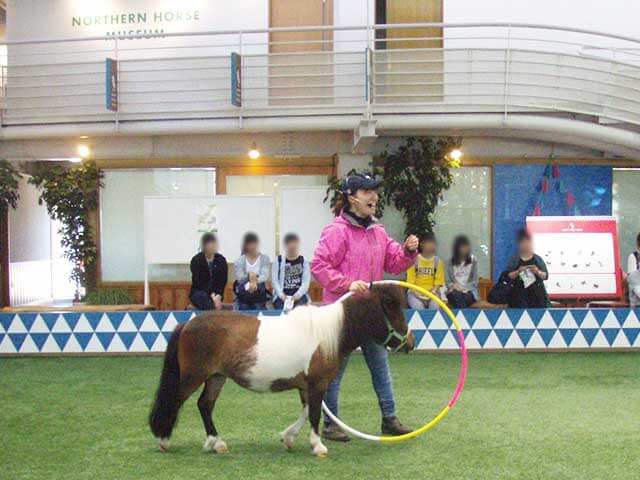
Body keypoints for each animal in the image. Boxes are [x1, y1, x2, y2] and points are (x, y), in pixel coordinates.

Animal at [148, 284, 412, 458]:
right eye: (391, 307)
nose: (410, 342)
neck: (327, 333)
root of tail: (187, 324)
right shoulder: (317, 384)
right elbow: (314, 414)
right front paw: (318, 446)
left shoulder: (306, 386)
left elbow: (306, 412)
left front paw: (288, 438)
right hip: (193, 377)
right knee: (176, 401)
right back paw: (164, 441)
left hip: (216, 377)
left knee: (205, 405)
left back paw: (217, 443)